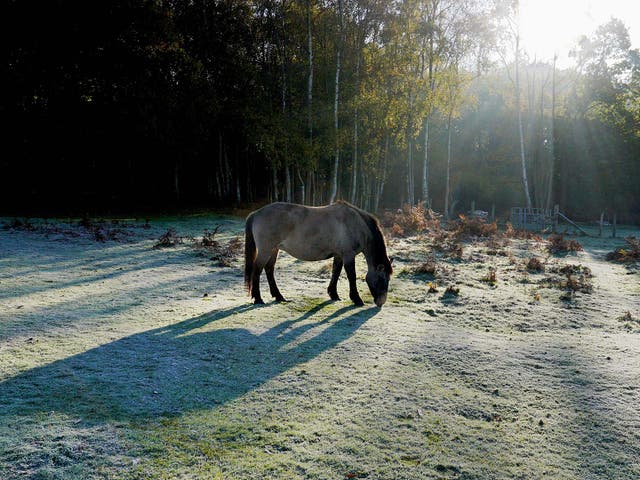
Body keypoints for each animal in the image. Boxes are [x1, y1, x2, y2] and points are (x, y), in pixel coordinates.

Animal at [245, 200, 392, 306]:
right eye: (382, 279)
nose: (381, 302)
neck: (355, 223)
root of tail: (256, 213)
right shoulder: (348, 255)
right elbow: (352, 276)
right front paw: (356, 299)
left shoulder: (339, 255)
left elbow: (335, 272)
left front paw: (334, 294)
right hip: (265, 250)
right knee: (257, 271)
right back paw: (258, 299)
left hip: (274, 250)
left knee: (269, 270)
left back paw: (279, 297)